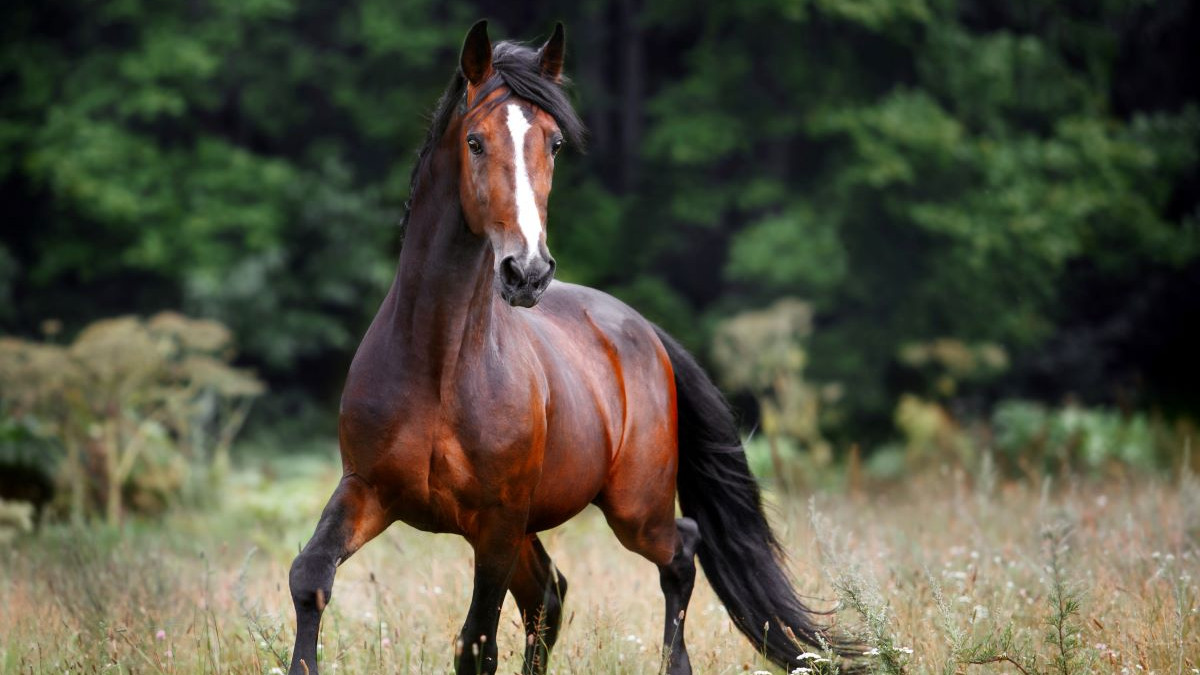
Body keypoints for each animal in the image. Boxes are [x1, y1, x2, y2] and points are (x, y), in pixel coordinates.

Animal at [288, 20, 857, 675]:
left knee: (678, 556)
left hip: (633, 508)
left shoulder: (498, 523)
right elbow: (310, 576)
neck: (440, 364)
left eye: (555, 143)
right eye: (475, 141)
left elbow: (476, 644)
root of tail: (642, 329)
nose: (527, 272)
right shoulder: (369, 488)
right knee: (550, 594)